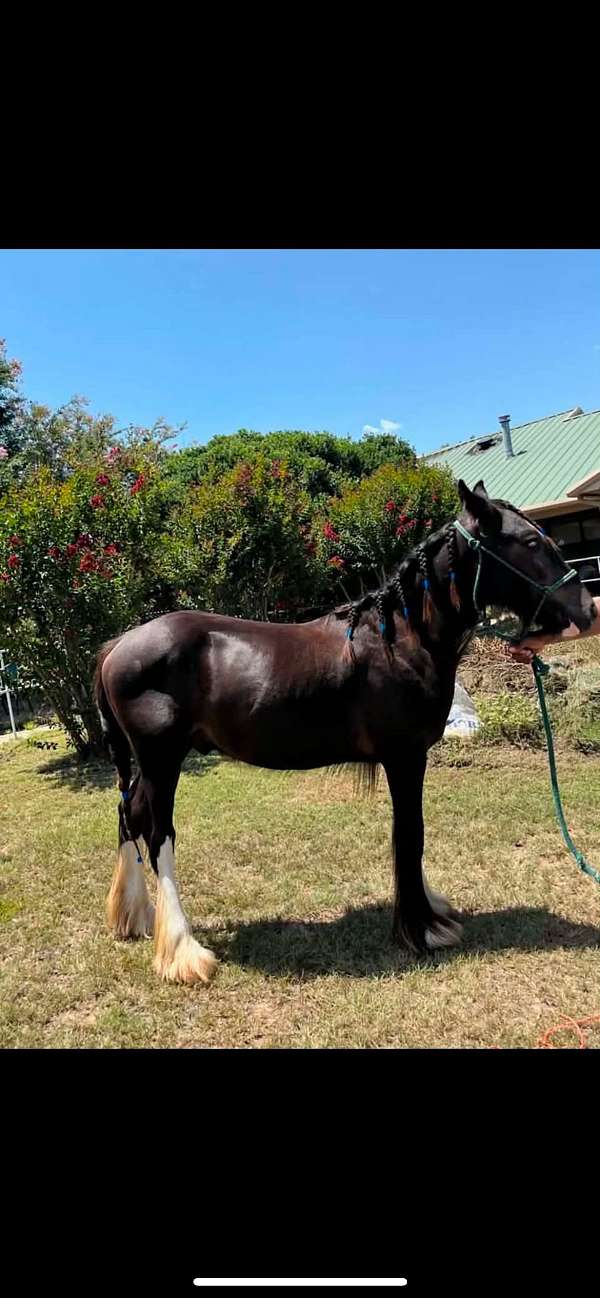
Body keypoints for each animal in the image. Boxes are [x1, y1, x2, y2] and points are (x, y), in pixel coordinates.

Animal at [94, 479, 596, 984]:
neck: (400, 638)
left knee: (129, 817)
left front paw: (430, 912)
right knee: (158, 835)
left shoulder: (406, 760)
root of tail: (118, 645)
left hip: (153, 766)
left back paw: (135, 918)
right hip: (162, 762)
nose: (586, 610)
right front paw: (421, 930)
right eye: (530, 542)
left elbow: (408, 833)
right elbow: (410, 834)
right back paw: (182, 949)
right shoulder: (405, 757)